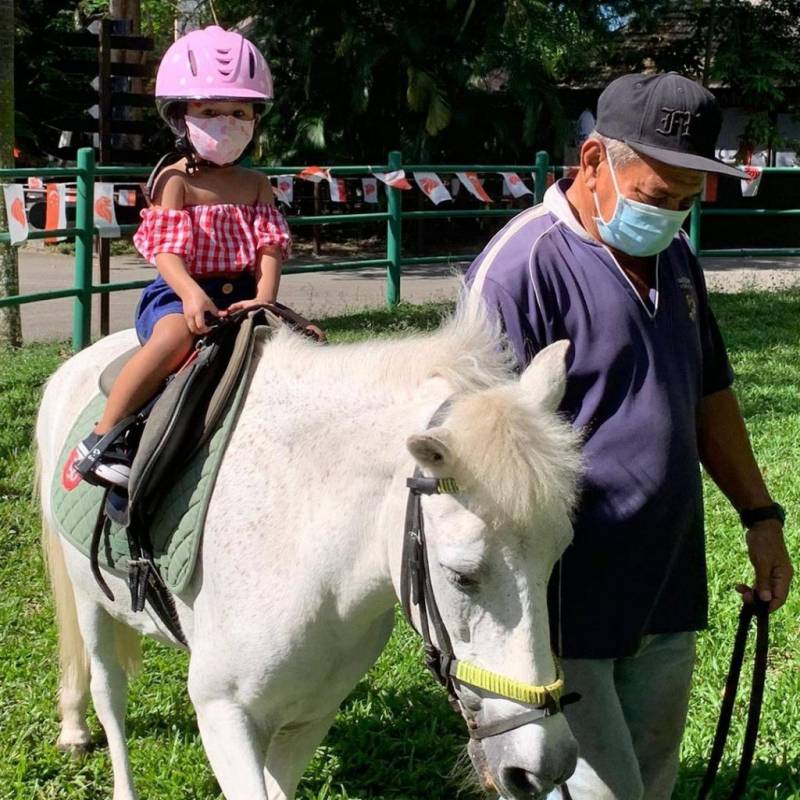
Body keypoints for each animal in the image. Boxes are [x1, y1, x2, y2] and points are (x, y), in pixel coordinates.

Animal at [36, 295, 582, 800]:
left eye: (556, 559)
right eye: (461, 576)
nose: (543, 766)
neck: (311, 555)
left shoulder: (312, 714)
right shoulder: (222, 713)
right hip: (90, 601)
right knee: (109, 691)